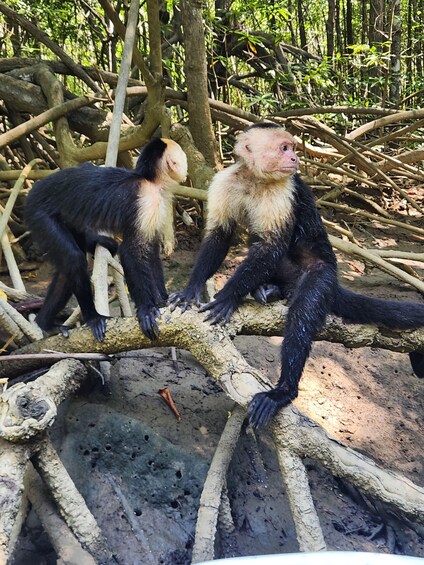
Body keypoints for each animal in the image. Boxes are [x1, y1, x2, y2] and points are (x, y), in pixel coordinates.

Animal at [24, 135, 187, 344]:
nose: (185, 161)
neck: (150, 181)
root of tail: (35, 190)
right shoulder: (147, 201)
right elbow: (131, 251)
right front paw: (145, 310)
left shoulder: (158, 205)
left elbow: (150, 251)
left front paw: (161, 300)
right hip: (39, 214)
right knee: (73, 259)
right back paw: (92, 318)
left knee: (66, 269)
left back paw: (45, 324)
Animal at [169, 122, 424, 428]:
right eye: (284, 148)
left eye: (291, 148)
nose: (294, 158)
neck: (256, 179)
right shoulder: (224, 181)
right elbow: (220, 234)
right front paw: (192, 288)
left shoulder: (285, 189)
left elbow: (271, 246)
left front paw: (227, 296)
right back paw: (269, 290)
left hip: (321, 276)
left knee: (302, 314)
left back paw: (283, 392)